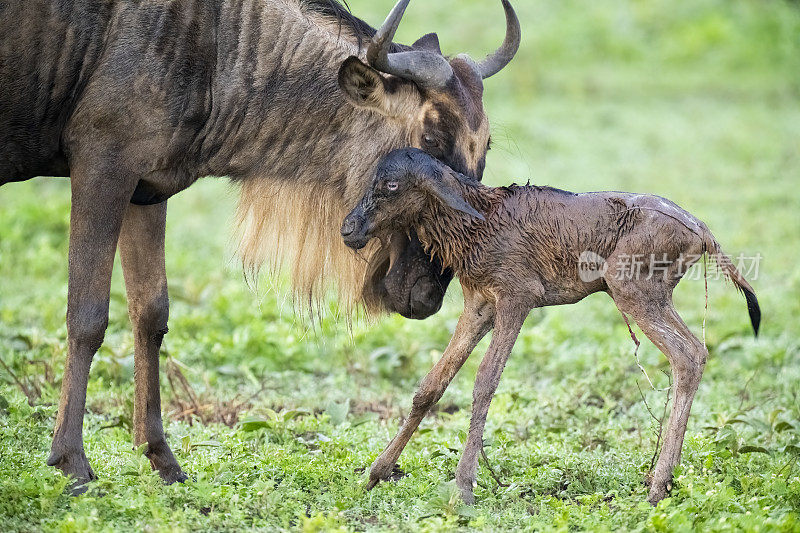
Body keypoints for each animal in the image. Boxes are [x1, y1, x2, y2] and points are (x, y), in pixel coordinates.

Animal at [340, 147, 760, 502]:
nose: (348, 228)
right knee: (699, 350)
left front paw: (463, 487)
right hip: (653, 297)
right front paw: (376, 472)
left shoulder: (518, 299)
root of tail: (702, 231)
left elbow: (485, 381)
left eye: (391, 185)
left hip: (631, 291)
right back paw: (660, 480)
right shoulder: (480, 306)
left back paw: (658, 486)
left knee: (686, 356)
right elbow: (432, 384)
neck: (478, 223)